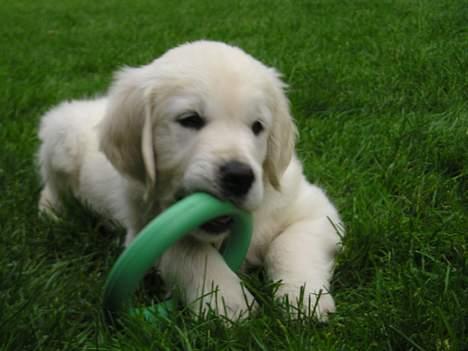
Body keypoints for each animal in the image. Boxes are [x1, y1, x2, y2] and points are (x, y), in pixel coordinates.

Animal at [37, 40, 344, 322]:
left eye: (257, 126)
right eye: (190, 119)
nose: (239, 176)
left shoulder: (314, 209)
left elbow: (291, 243)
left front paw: (305, 298)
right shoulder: (143, 228)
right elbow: (189, 250)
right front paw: (226, 298)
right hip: (60, 137)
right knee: (51, 185)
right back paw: (52, 212)